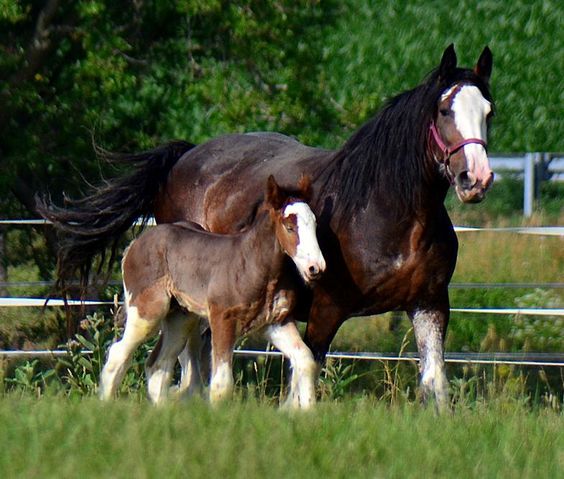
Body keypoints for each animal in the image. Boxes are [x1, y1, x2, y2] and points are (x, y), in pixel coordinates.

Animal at [39, 45, 494, 410]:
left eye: (488, 111)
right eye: (444, 110)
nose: (476, 178)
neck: (386, 213)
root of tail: (184, 156)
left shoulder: (430, 305)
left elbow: (435, 384)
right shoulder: (326, 310)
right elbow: (302, 376)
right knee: (187, 364)